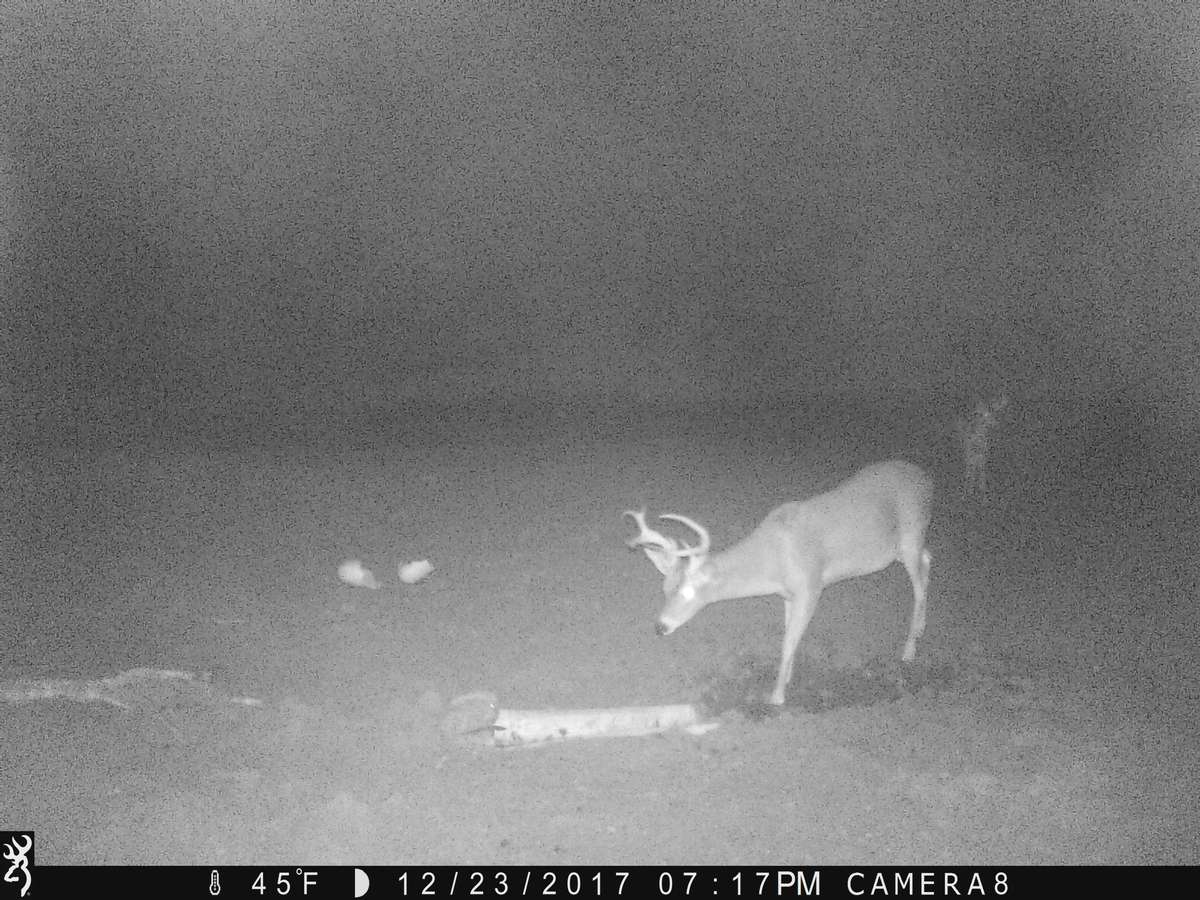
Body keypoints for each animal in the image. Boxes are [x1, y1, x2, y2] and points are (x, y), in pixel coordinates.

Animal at [624, 460, 933, 706]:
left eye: (689, 592)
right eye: (665, 589)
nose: (660, 626)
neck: (774, 560)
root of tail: (927, 479)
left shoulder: (811, 587)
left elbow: (786, 642)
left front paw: (776, 697)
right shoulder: (788, 595)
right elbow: (789, 637)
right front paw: (787, 678)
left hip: (911, 534)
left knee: (919, 584)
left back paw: (909, 651)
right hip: (905, 547)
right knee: (929, 559)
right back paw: (920, 630)